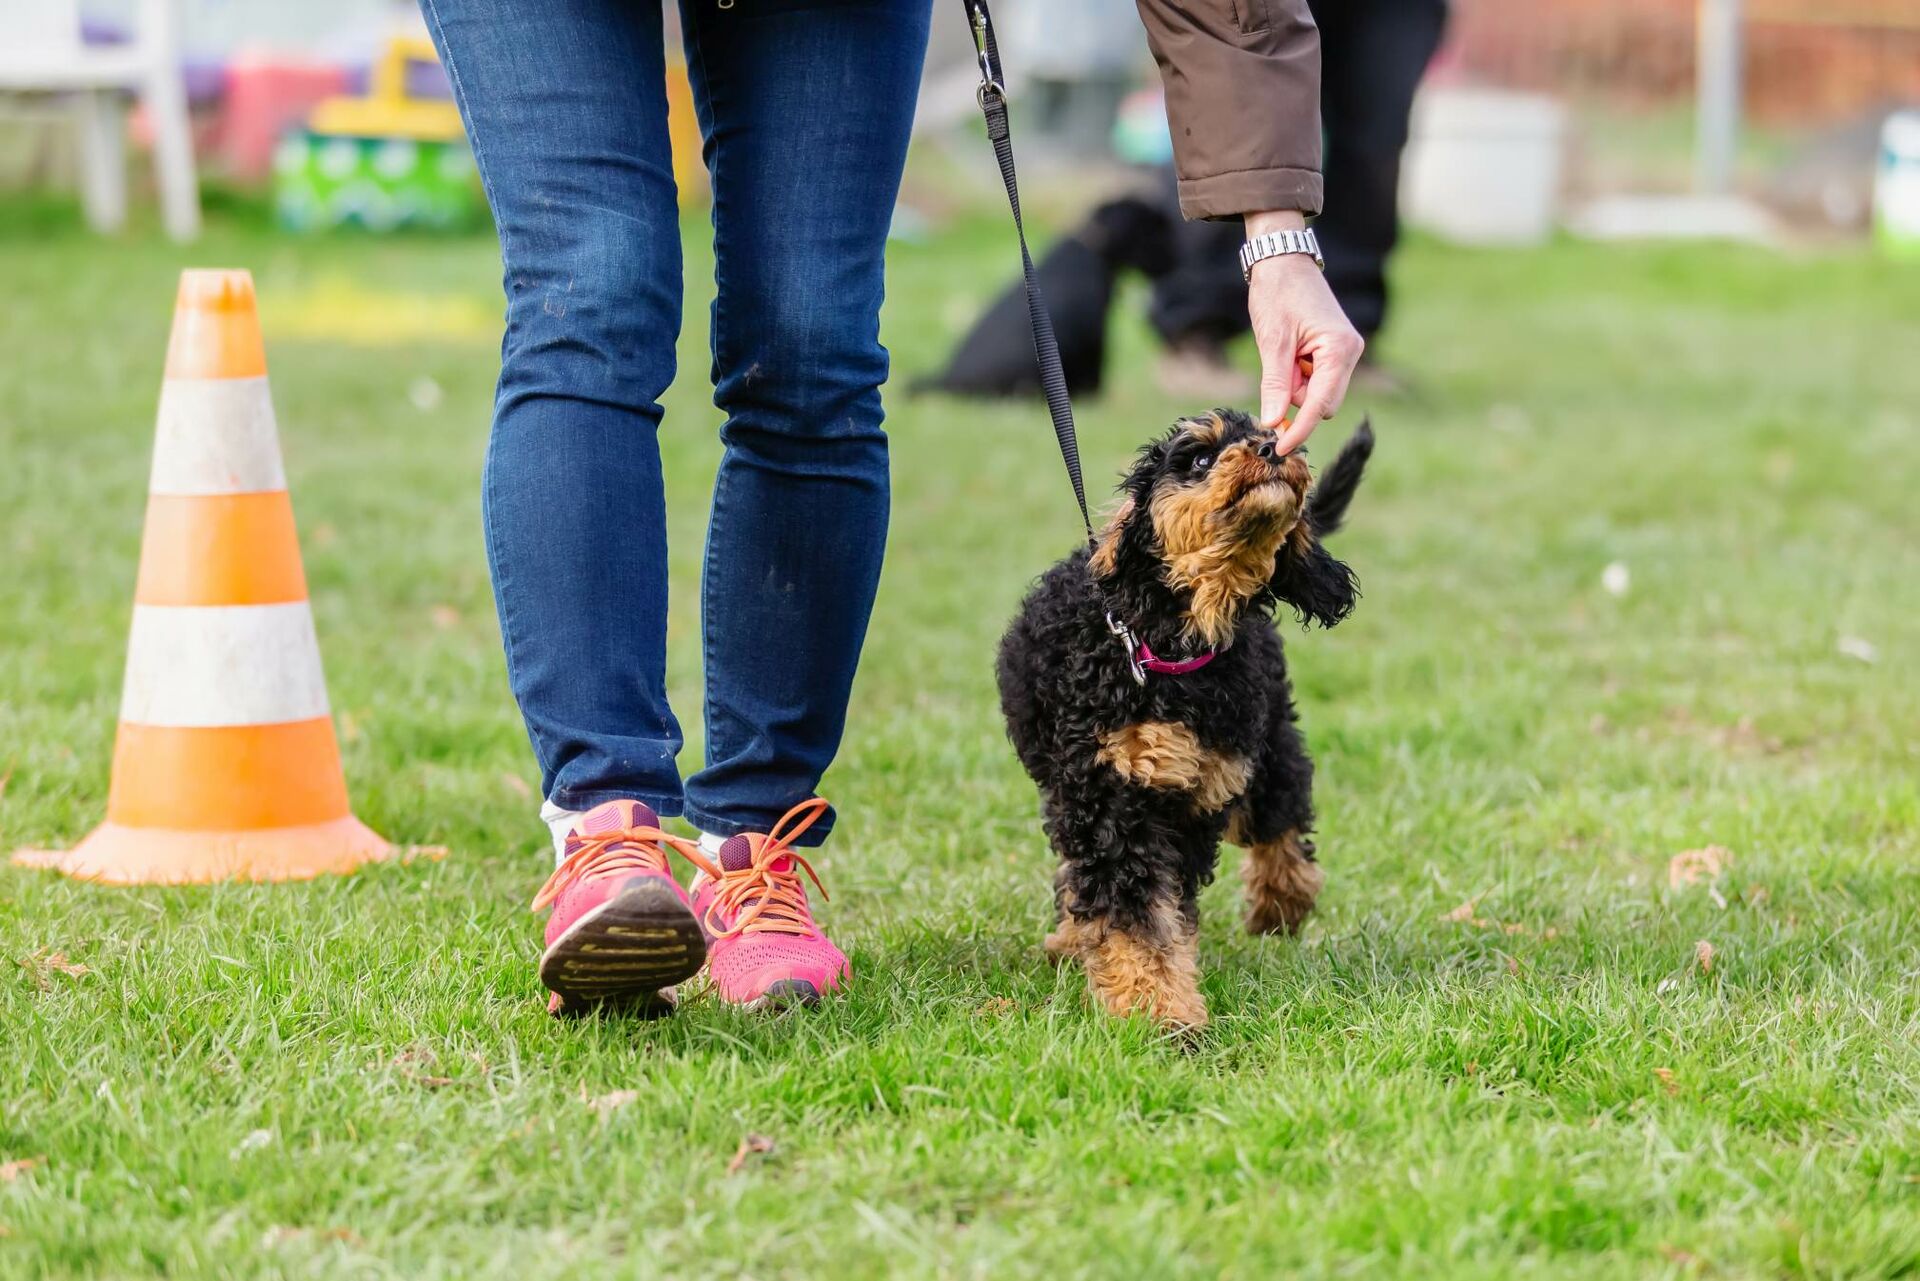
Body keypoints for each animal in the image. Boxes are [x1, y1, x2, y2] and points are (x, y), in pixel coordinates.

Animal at [998, 410, 1374, 1029]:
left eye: (1269, 433)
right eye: (1198, 458)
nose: (1274, 448)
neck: (1171, 649)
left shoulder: (1203, 788)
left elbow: (1164, 908)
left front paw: (1160, 1011)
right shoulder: (1110, 791)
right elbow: (1134, 915)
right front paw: (1161, 1015)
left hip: (1268, 739)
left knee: (1281, 816)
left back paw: (1280, 906)